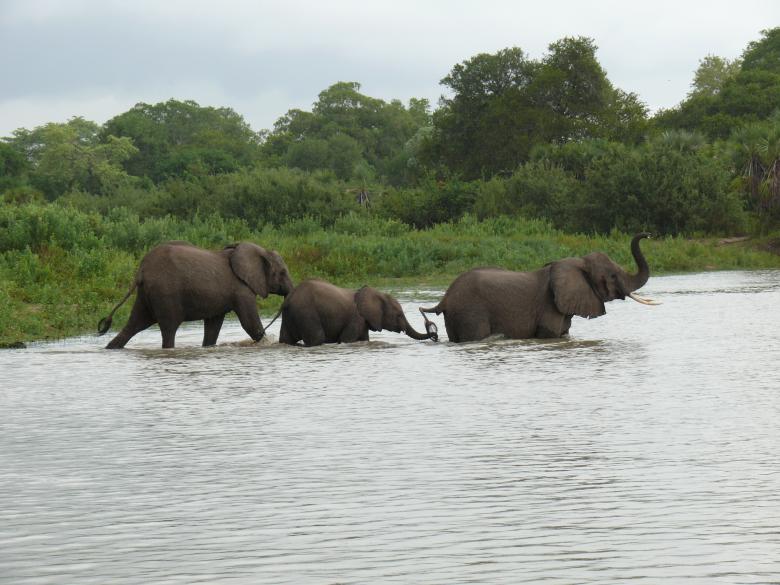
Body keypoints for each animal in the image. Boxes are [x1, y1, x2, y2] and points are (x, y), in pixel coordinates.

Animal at [97, 241, 294, 349]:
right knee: (168, 329)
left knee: (133, 325)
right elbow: (250, 324)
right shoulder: (241, 288)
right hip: (165, 294)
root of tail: (141, 271)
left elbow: (213, 326)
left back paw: (111, 348)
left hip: (146, 295)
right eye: (283, 273)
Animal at [279, 279, 438, 346]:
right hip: (306, 313)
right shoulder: (356, 319)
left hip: (290, 316)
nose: (435, 335)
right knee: (317, 339)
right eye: (398, 315)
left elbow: (364, 339)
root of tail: (289, 298)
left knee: (286, 340)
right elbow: (346, 340)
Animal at [420, 233, 658, 343]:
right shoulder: (549, 305)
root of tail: (445, 298)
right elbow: (549, 333)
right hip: (471, 312)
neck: (576, 263)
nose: (648, 234)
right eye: (612, 276)